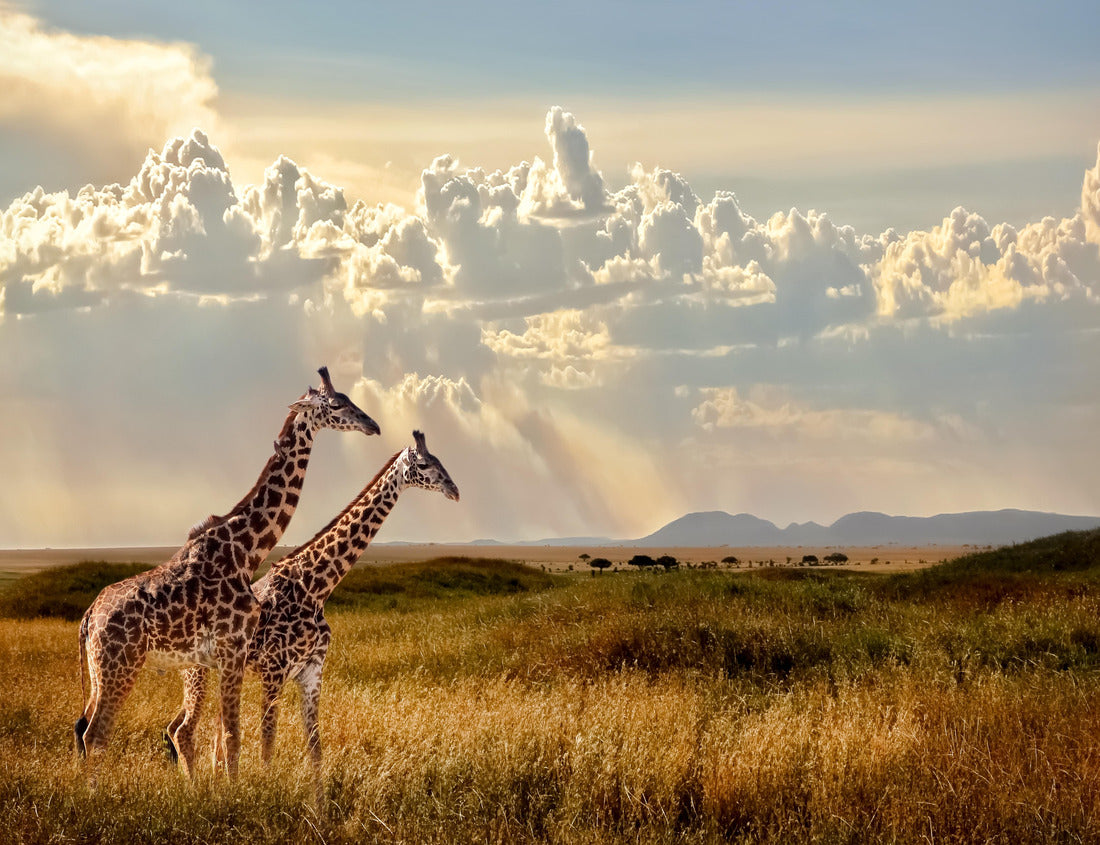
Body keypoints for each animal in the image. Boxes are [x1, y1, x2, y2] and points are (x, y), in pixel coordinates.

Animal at [74, 366, 380, 781]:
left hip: (100, 671)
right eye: (335, 404)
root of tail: (89, 617)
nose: (372, 425)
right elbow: (233, 735)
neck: (245, 552)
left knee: (88, 728)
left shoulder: (227, 657)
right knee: (97, 734)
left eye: (349, 399)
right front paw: (235, 792)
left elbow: (228, 734)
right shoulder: (233, 649)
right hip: (119, 666)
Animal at [165, 430, 458, 799]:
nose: (454, 490)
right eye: (424, 464)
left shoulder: (313, 670)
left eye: (440, 460)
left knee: (192, 728)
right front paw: (265, 793)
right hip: (196, 671)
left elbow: (315, 747)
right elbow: (268, 742)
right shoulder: (274, 670)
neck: (316, 587)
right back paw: (195, 792)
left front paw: (320, 804)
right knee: (185, 730)